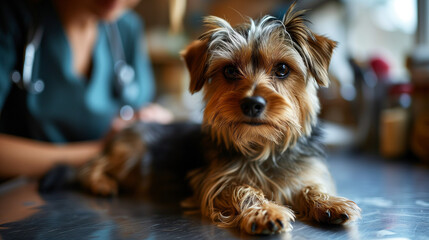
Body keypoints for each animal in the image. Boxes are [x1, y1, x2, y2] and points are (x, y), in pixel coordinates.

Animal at [75, 4, 360, 234]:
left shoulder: (303, 172)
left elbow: (309, 186)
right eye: (230, 71)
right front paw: (266, 211)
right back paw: (101, 183)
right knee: (91, 166)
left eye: (282, 69)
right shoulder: (214, 182)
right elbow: (243, 189)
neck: (263, 147)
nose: (252, 103)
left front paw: (329, 203)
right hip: (131, 151)